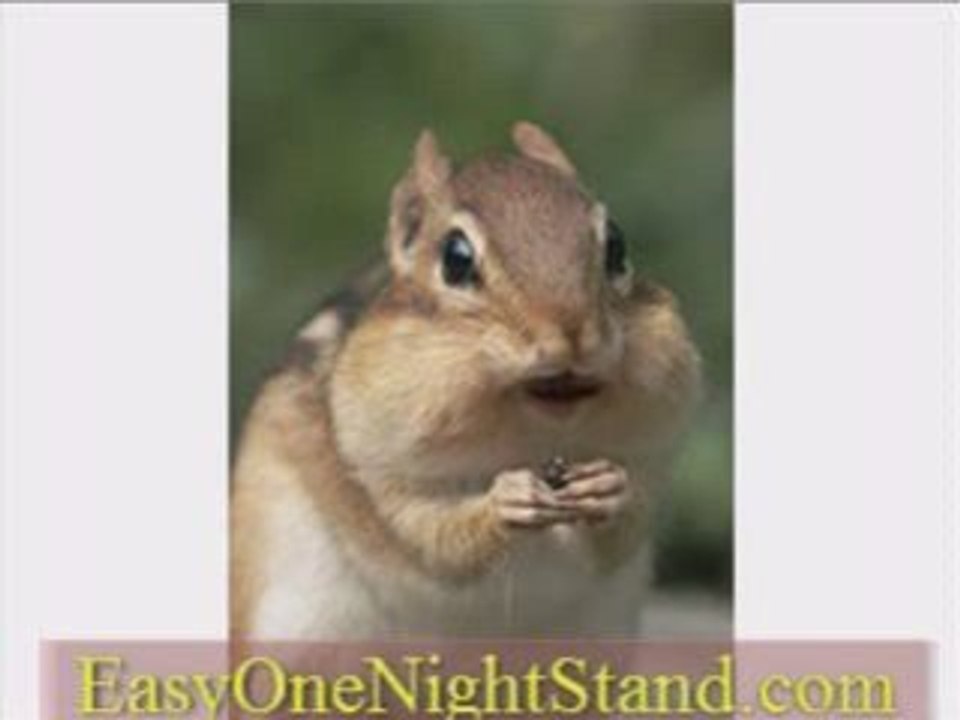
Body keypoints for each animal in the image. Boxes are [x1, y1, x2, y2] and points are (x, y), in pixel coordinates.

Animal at [230, 122, 701, 639]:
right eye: (456, 259)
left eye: (616, 245)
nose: (571, 334)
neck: (531, 441)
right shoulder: (376, 474)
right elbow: (433, 538)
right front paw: (505, 501)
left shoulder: (654, 457)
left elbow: (629, 523)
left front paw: (607, 487)